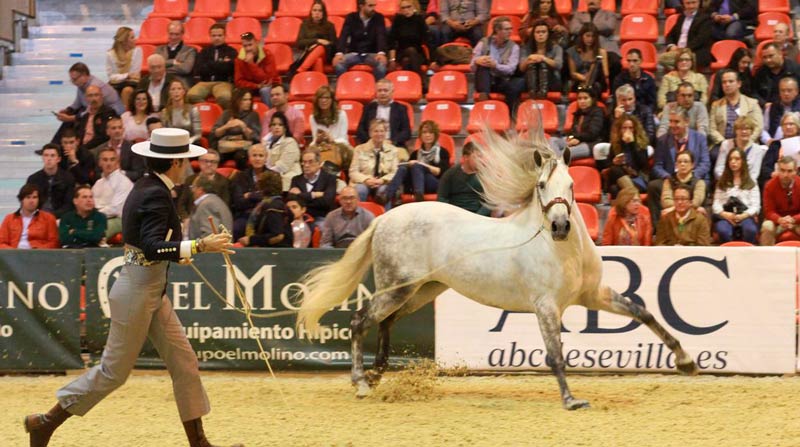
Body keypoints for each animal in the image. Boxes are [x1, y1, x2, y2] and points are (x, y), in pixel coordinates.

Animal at [296, 129, 697, 410]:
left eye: (571, 185)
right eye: (541, 185)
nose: (560, 226)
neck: (561, 251)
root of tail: (384, 218)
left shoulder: (593, 296)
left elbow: (644, 313)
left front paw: (686, 361)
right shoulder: (545, 306)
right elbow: (555, 353)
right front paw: (571, 401)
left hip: (421, 290)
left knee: (385, 322)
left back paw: (377, 373)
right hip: (399, 288)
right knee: (360, 321)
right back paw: (362, 383)